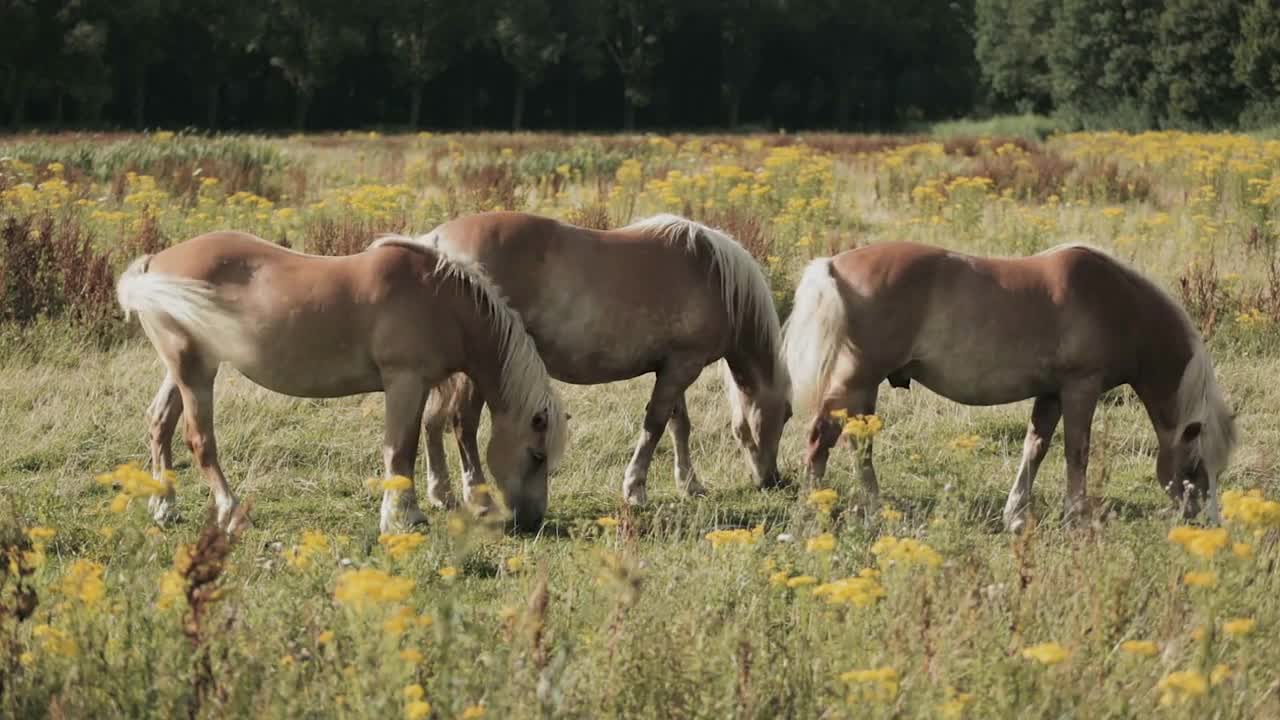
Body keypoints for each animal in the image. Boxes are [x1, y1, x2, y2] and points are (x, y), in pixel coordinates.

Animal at [115, 229, 565, 532]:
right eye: (537, 456)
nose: (532, 520)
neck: (440, 298)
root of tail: (154, 263)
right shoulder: (404, 382)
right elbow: (399, 449)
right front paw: (402, 517)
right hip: (195, 370)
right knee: (199, 440)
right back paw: (230, 511)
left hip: (182, 370)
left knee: (160, 423)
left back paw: (165, 508)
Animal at [414, 210, 788, 507]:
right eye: (786, 415)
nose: (773, 480)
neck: (713, 274)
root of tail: (436, 243)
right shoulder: (683, 367)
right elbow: (655, 425)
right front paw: (635, 489)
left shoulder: (674, 367)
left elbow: (678, 424)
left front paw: (690, 484)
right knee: (462, 423)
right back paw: (475, 494)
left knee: (432, 422)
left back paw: (441, 494)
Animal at [783, 240, 1233, 527]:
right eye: (1195, 466)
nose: (1204, 520)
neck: (1120, 303)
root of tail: (832, 265)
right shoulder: (1080, 389)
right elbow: (1077, 453)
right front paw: (1076, 516)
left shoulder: (1051, 394)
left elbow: (1035, 447)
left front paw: (1015, 513)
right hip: (856, 382)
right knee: (822, 437)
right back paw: (817, 509)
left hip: (864, 388)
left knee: (857, 445)